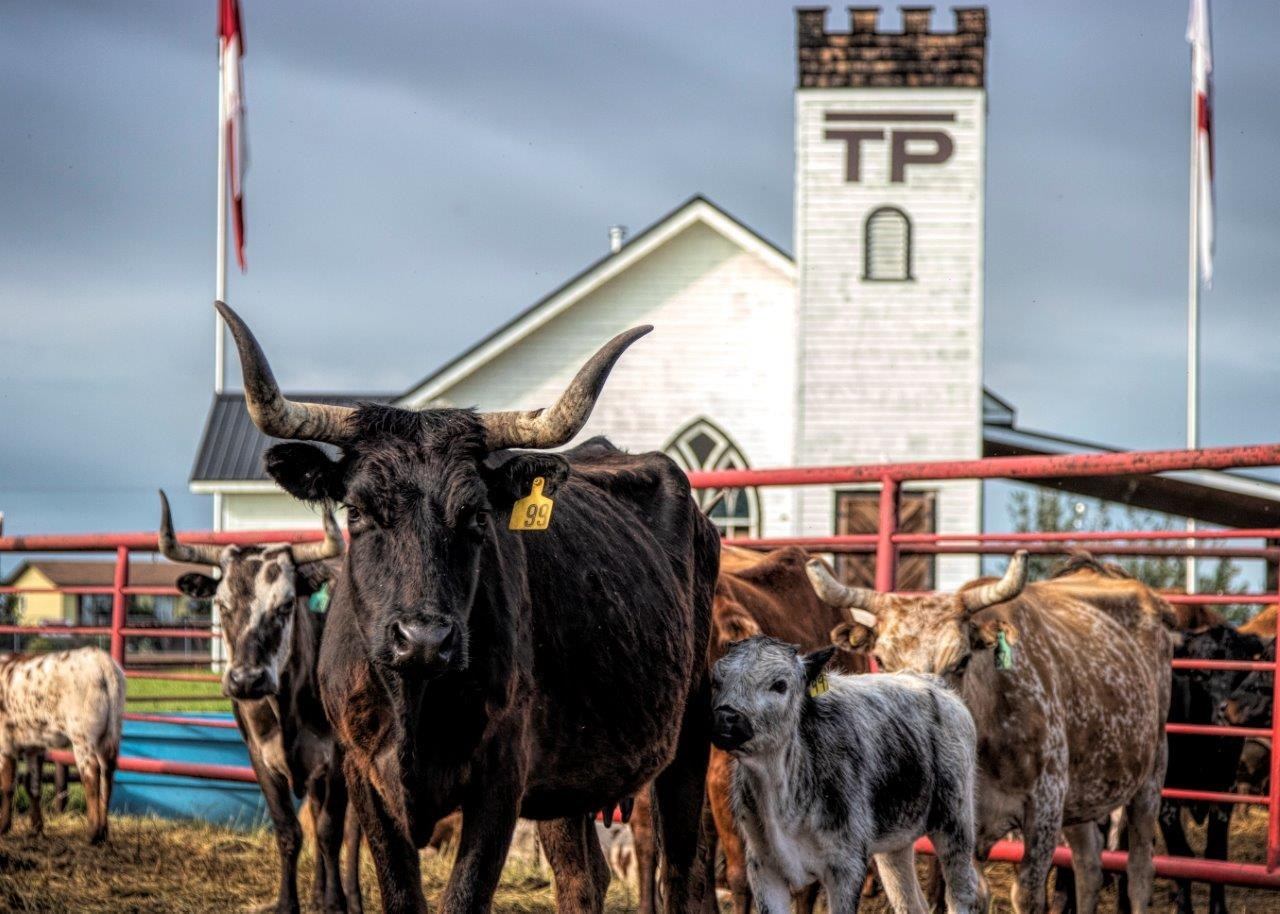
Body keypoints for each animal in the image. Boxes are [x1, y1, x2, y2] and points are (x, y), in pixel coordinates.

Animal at [0, 647, 124, 844]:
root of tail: (102, 662)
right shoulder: (34, 745)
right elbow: (33, 785)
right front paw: (36, 829)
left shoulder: (5, 741)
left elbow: (7, 785)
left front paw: (3, 827)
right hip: (111, 733)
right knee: (107, 775)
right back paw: (103, 832)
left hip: (82, 736)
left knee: (91, 775)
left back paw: (92, 833)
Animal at [158, 492, 361, 914]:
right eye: (222, 605)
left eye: (285, 605)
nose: (246, 680)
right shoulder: (260, 757)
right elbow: (290, 832)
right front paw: (290, 903)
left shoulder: (337, 758)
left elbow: (331, 833)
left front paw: (336, 903)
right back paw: (318, 891)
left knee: (353, 830)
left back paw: (351, 896)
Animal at [216, 300, 720, 914]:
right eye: (356, 511)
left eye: (478, 514)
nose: (424, 640)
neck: (414, 703)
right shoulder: (362, 775)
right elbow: (400, 893)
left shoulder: (500, 780)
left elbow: (463, 897)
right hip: (569, 780)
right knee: (582, 879)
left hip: (688, 737)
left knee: (684, 874)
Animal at [710, 636, 983, 914]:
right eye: (716, 680)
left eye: (779, 684)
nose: (726, 717)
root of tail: (930, 682)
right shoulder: (763, 868)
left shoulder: (846, 866)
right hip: (896, 842)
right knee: (909, 900)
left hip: (956, 822)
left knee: (962, 892)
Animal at [808, 551, 1175, 914]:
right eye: (881, 660)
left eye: (961, 661)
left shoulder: (1045, 807)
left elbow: (1027, 896)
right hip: (1083, 793)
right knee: (1089, 866)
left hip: (1152, 773)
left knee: (1140, 872)